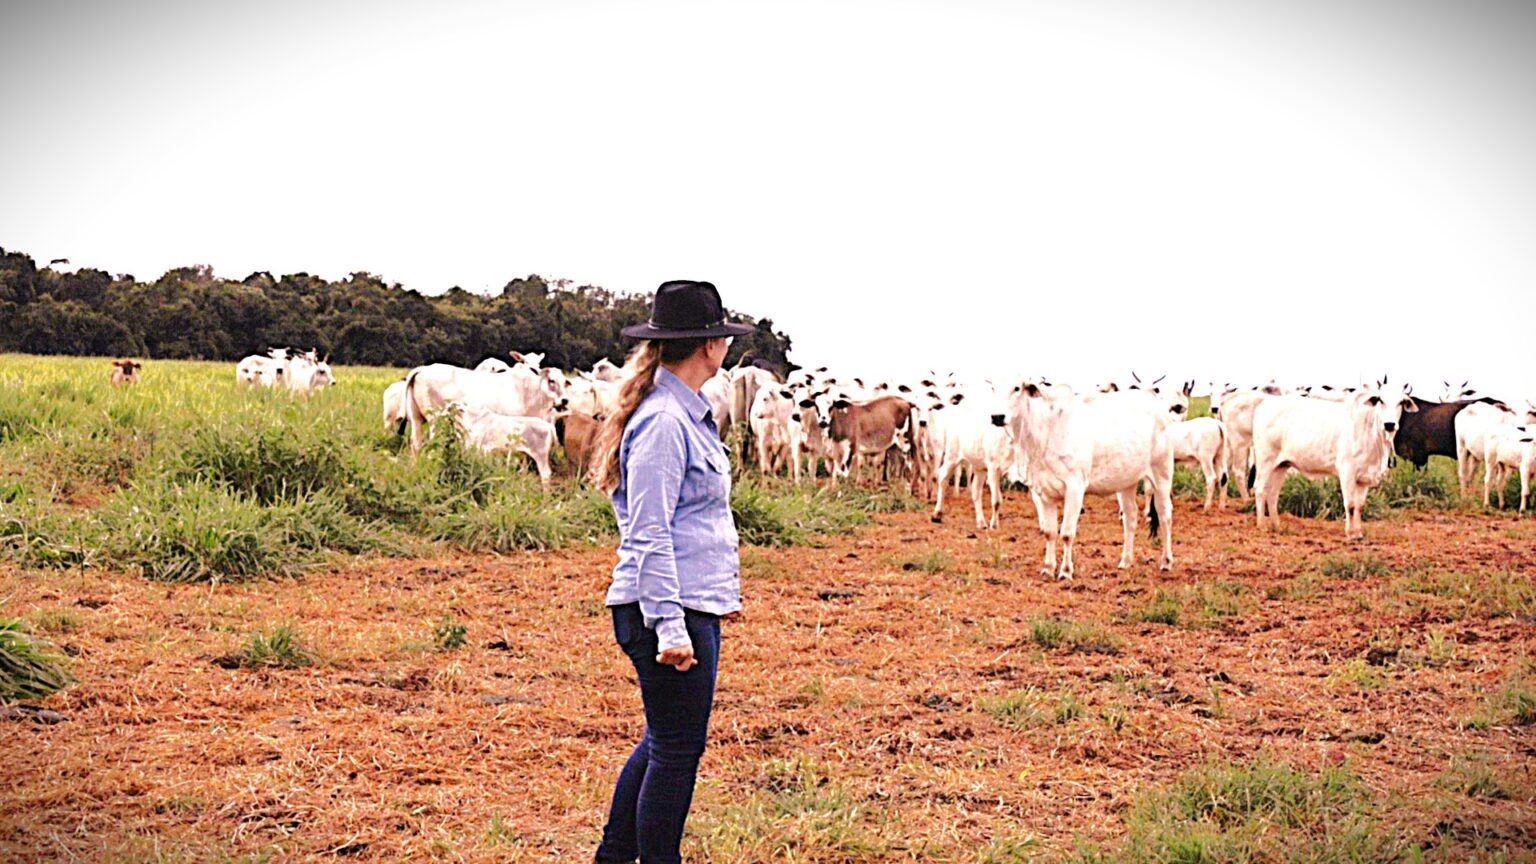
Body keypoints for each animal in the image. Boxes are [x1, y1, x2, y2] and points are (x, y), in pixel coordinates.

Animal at [403, 363, 570, 452]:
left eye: (564, 382)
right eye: (552, 380)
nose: (565, 400)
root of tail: (424, 368)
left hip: (417, 420)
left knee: (415, 444)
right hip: (437, 421)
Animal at [1007, 382, 1175, 579]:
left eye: (1017, 388)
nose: (997, 417)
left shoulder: (1075, 487)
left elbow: (1066, 533)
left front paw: (1065, 571)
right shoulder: (1041, 491)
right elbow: (1049, 532)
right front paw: (1048, 568)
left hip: (1162, 473)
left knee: (1164, 515)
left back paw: (1166, 562)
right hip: (1126, 481)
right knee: (1130, 516)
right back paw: (1125, 561)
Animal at [1250, 384, 1417, 539]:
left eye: (1401, 402)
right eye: (1380, 400)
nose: (1389, 424)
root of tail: (1265, 405)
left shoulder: (1364, 478)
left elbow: (1360, 506)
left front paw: (1358, 533)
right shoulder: (1347, 472)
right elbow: (1350, 505)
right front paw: (1350, 533)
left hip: (1281, 466)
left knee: (1273, 494)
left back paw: (1276, 526)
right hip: (1265, 461)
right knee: (1260, 489)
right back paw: (1261, 525)